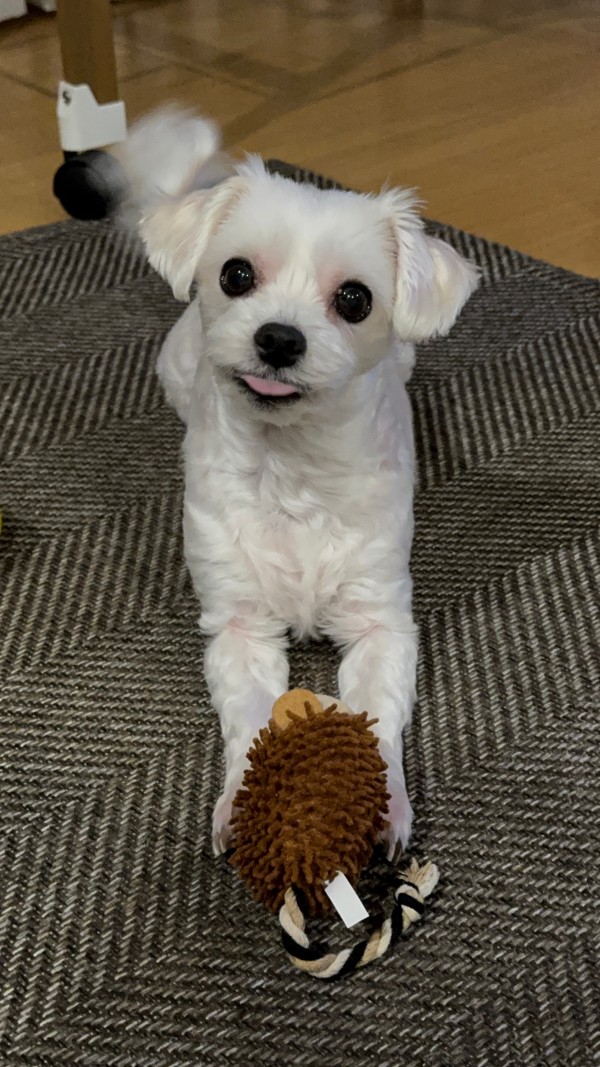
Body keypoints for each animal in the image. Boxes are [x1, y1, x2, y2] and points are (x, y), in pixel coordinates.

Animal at [115, 108, 478, 858]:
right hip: (174, 368)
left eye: (355, 298)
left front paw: (383, 801)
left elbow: (377, 715)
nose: (279, 338)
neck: (293, 471)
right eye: (236, 274)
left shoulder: (381, 622)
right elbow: (252, 717)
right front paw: (243, 803)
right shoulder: (239, 627)